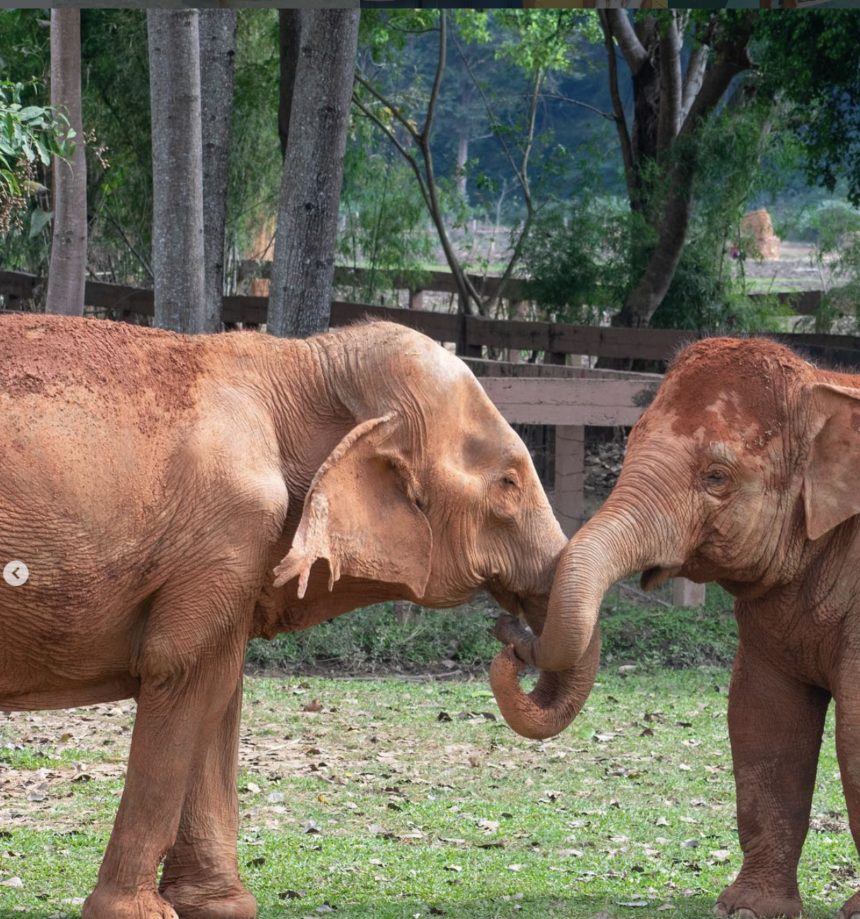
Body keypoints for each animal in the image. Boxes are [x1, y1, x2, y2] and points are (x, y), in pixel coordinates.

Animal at [0, 314, 567, 919]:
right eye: (509, 483)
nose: (508, 636)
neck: (299, 363)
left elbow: (219, 686)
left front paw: (217, 907)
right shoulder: (223, 533)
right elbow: (183, 672)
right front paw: (139, 914)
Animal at [491, 336, 860, 919]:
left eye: (717, 477)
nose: (508, 634)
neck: (826, 387)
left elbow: (853, 732)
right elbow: (761, 720)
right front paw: (746, 910)